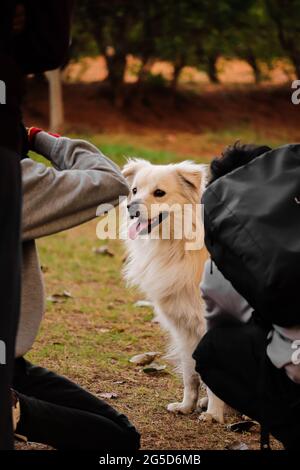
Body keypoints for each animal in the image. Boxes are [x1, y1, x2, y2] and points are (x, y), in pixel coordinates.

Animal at [121, 159, 223, 422]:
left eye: (159, 193)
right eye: (134, 190)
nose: (130, 208)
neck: (179, 245)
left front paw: (214, 415)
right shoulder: (184, 328)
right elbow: (190, 374)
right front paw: (187, 406)